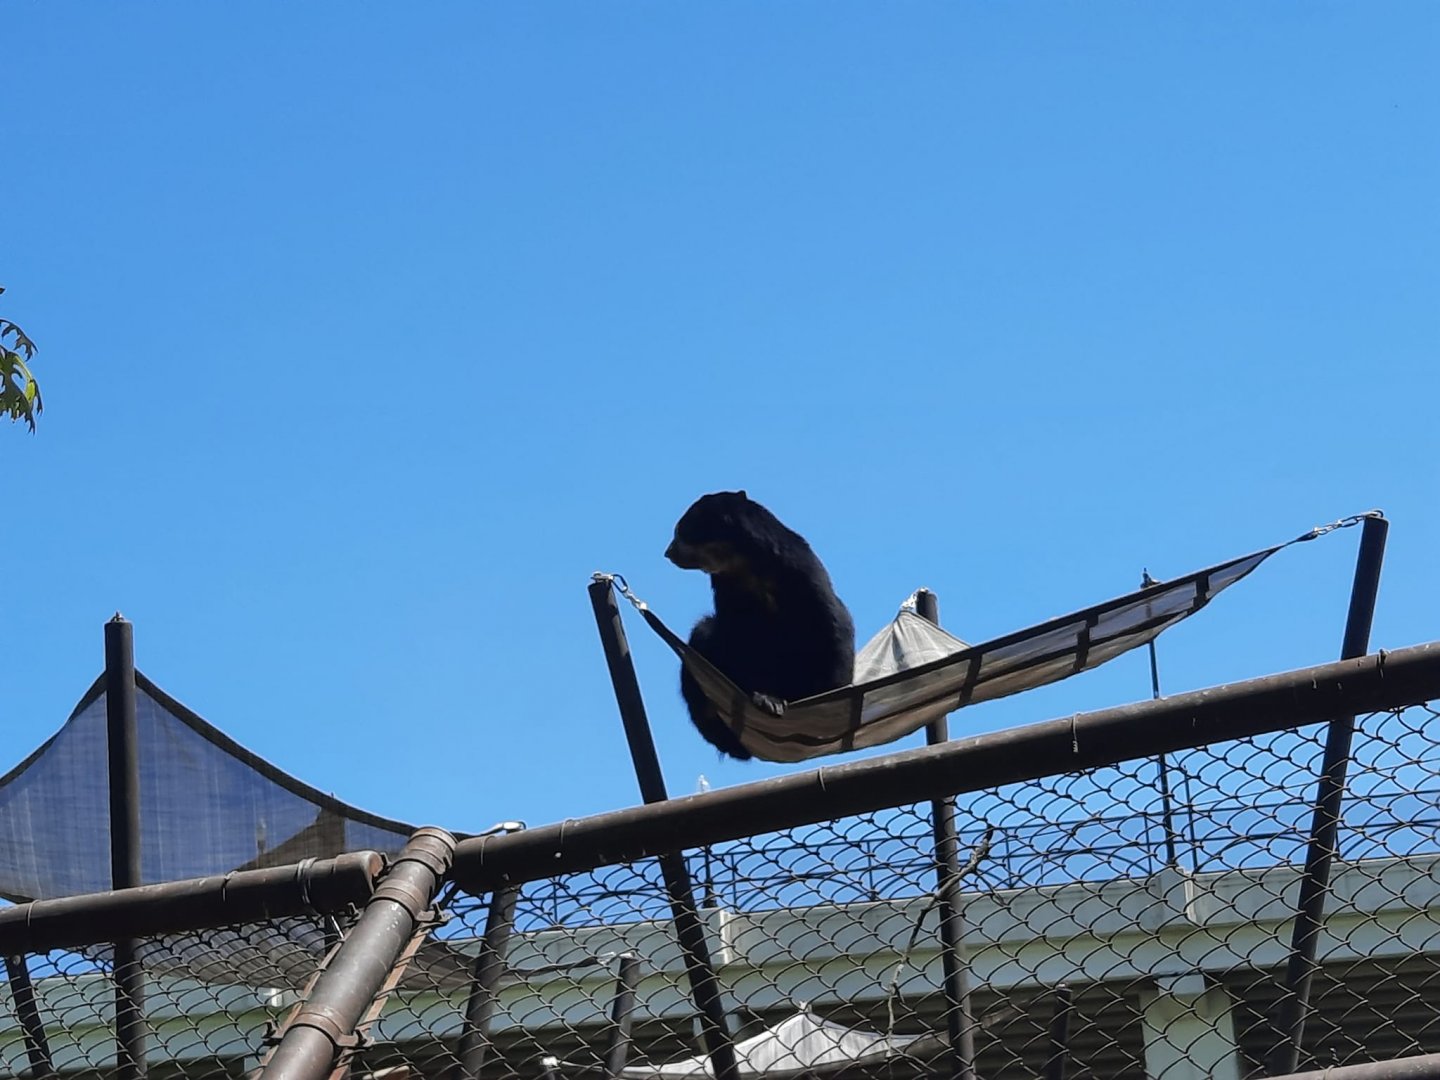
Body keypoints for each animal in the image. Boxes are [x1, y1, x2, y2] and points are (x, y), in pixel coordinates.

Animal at [665, 490, 856, 760]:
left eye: (682, 531)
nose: (668, 552)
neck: (744, 565)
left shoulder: (801, 573)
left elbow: (833, 624)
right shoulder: (728, 593)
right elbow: (740, 640)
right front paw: (766, 699)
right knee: (703, 634)